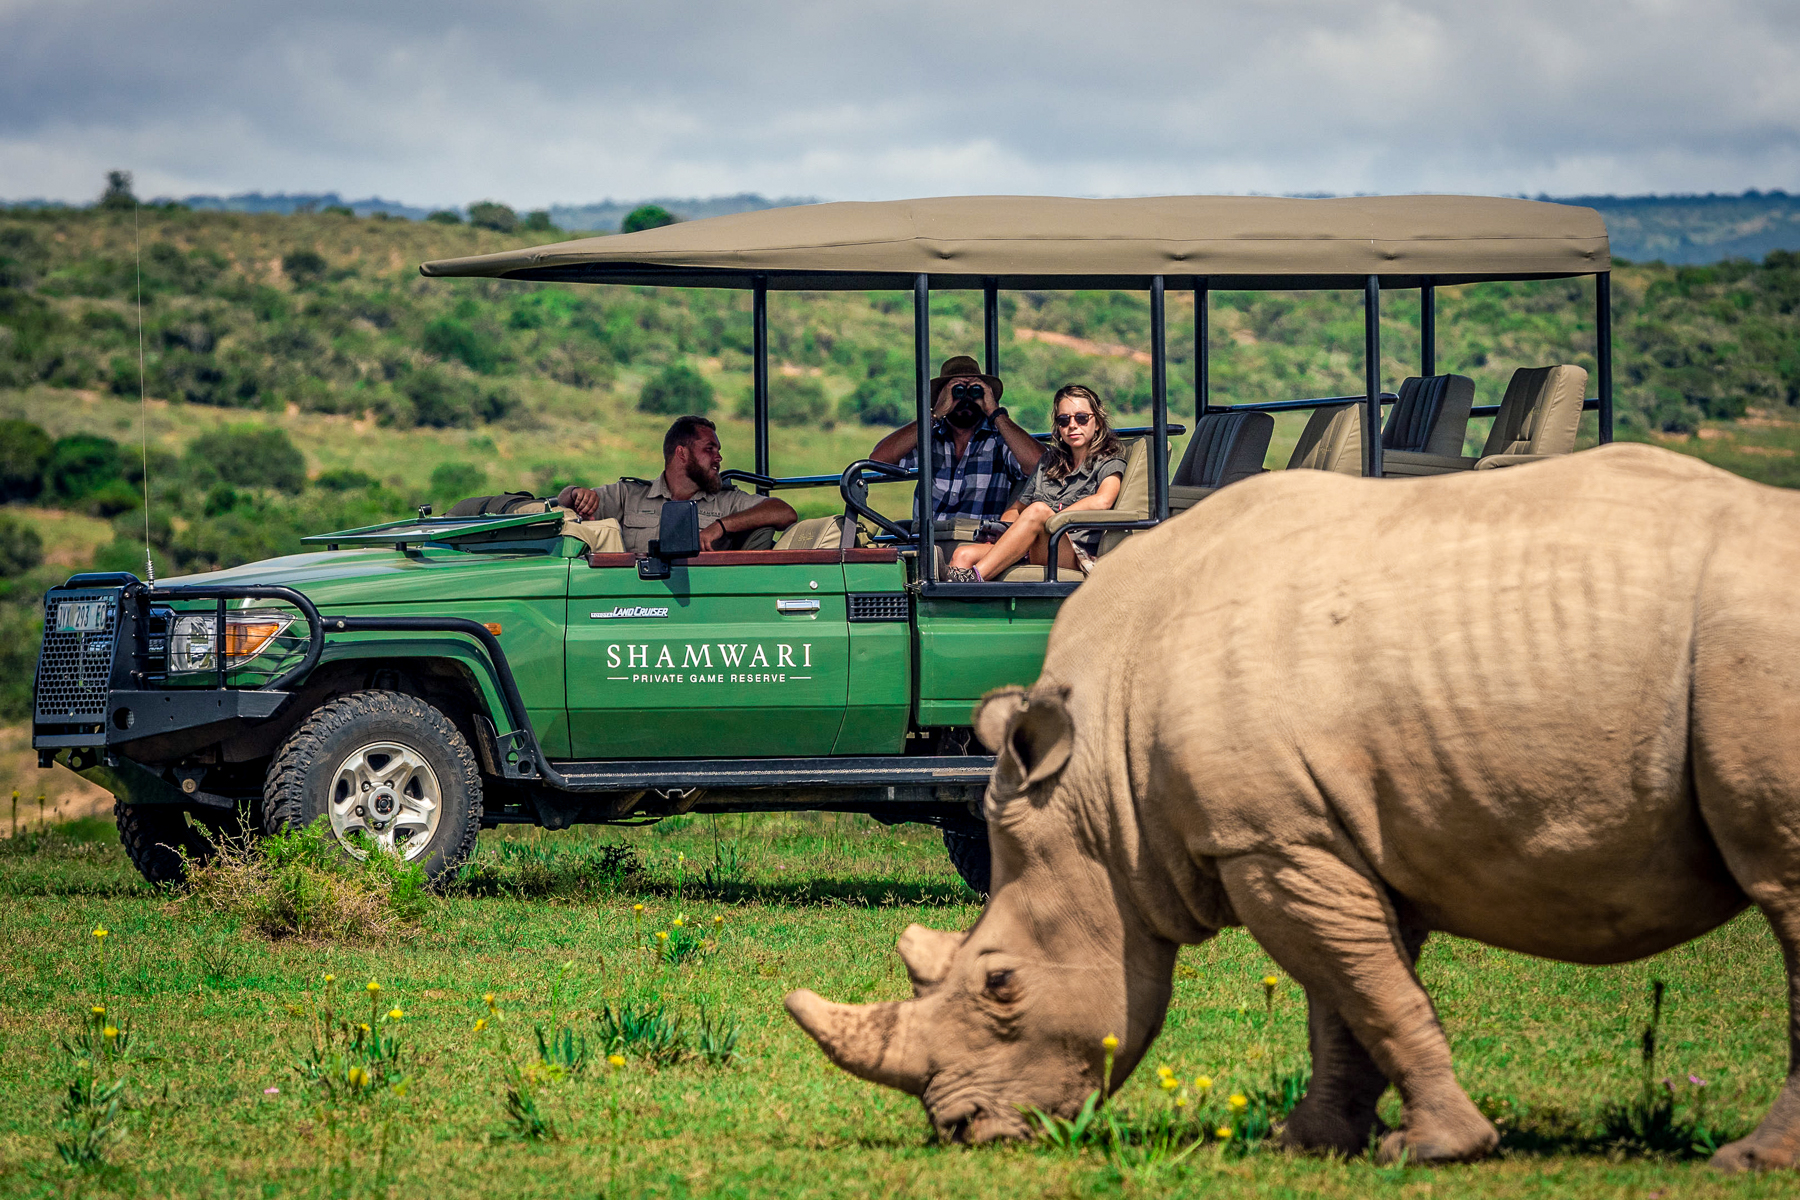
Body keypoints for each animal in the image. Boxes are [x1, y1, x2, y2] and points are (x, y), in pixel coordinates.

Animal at [786, 443, 1800, 1170]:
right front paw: (1315, 1144)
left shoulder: (1274, 839)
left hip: (1750, 643)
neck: (1101, 792)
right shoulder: (1322, 833)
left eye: (1000, 984)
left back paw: (1745, 1161)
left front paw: (1434, 1149)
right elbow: (1351, 994)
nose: (961, 1129)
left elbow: (1367, 991)